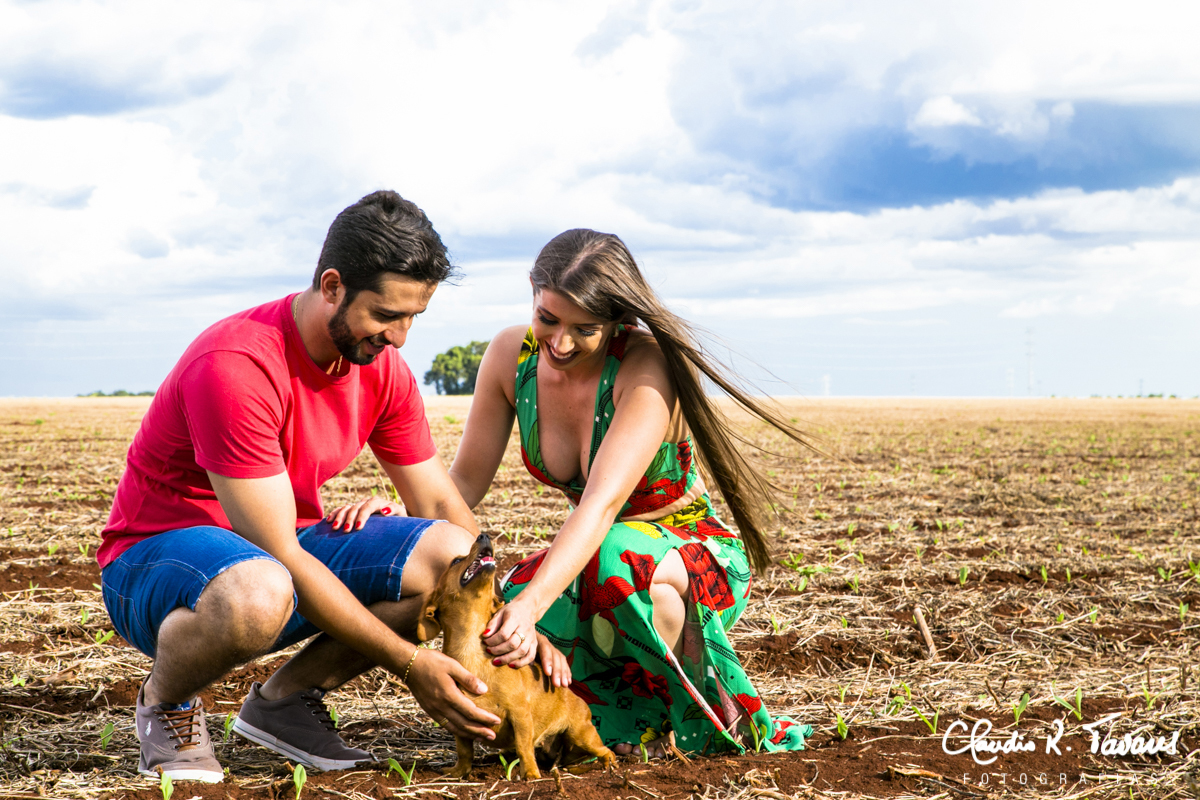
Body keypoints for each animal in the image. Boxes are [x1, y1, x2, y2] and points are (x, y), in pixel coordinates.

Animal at [416, 533, 615, 780]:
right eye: (456, 561)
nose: (484, 535)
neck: (472, 650)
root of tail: (578, 699)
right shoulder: (460, 722)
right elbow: (464, 751)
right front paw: (458, 772)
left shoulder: (519, 714)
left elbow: (523, 746)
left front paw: (530, 773)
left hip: (581, 735)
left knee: (604, 750)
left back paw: (608, 764)